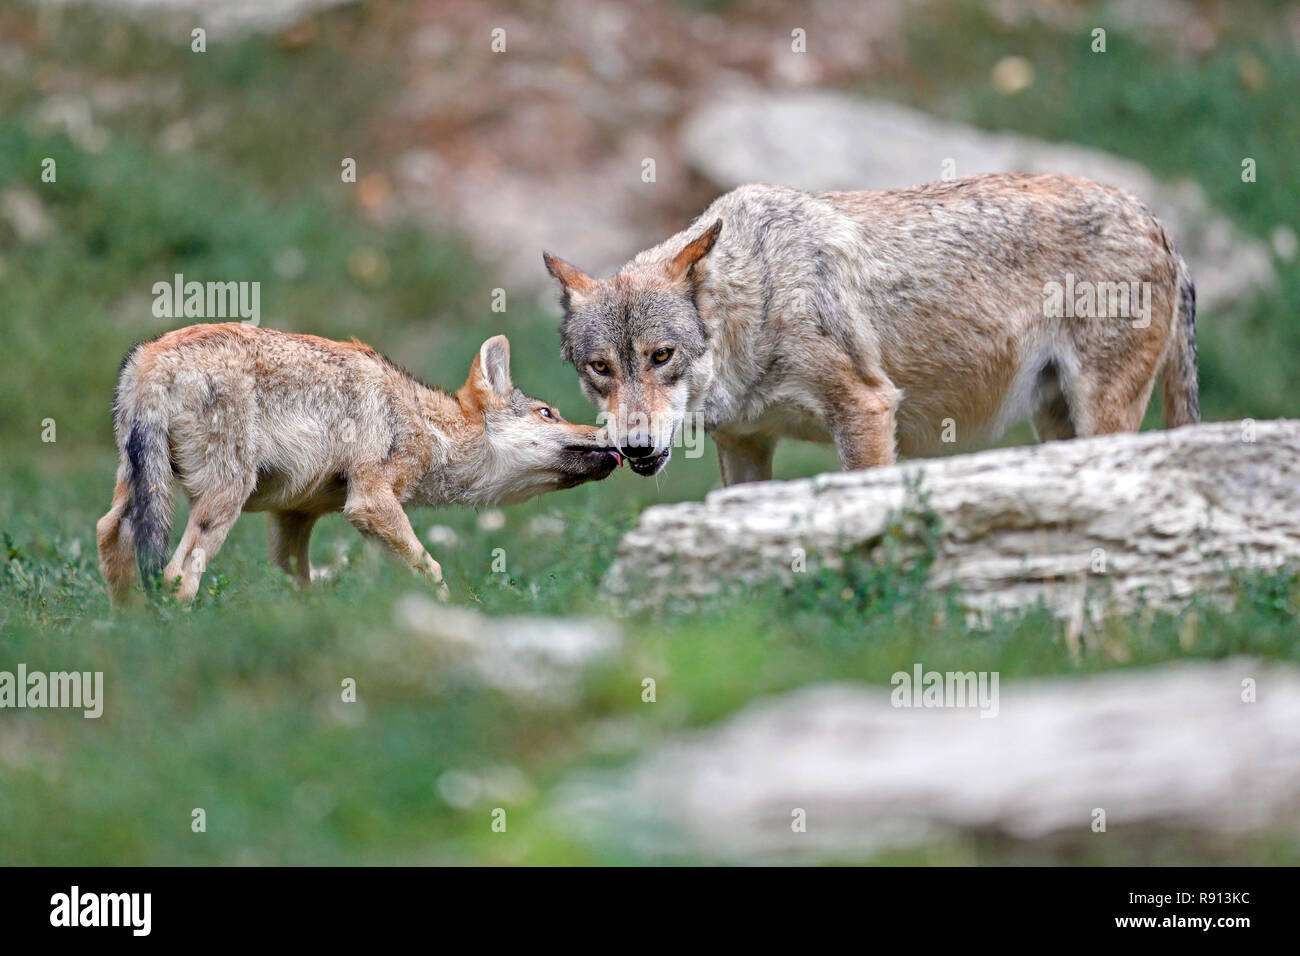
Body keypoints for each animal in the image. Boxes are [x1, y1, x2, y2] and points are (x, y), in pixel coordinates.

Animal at [97, 323, 618, 606]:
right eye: (549, 413)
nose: (613, 434)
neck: (424, 422)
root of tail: (151, 358)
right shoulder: (369, 503)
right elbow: (431, 570)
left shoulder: (294, 516)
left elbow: (299, 588)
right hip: (222, 501)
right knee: (174, 577)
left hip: (140, 493)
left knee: (109, 536)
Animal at [540, 171, 1196, 481]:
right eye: (601, 368)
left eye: (662, 356)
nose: (634, 446)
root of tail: (1157, 221)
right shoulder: (745, 443)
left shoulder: (866, 411)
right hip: (1057, 422)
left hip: (1099, 414)